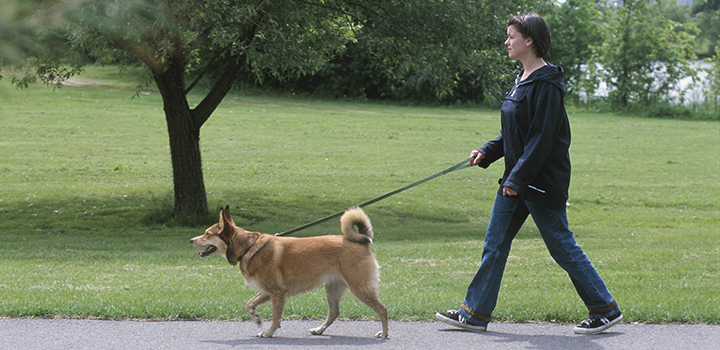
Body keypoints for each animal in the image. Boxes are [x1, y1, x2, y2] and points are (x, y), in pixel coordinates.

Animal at [188, 206, 386, 338]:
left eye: (207, 233)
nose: (191, 240)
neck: (248, 247)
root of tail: (362, 242)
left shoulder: (277, 292)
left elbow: (276, 317)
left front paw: (268, 332)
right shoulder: (268, 291)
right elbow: (249, 304)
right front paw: (256, 318)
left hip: (359, 287)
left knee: (382, 310)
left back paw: (384, 333)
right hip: (332, 287)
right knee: (334, 312)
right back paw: (319, 329)